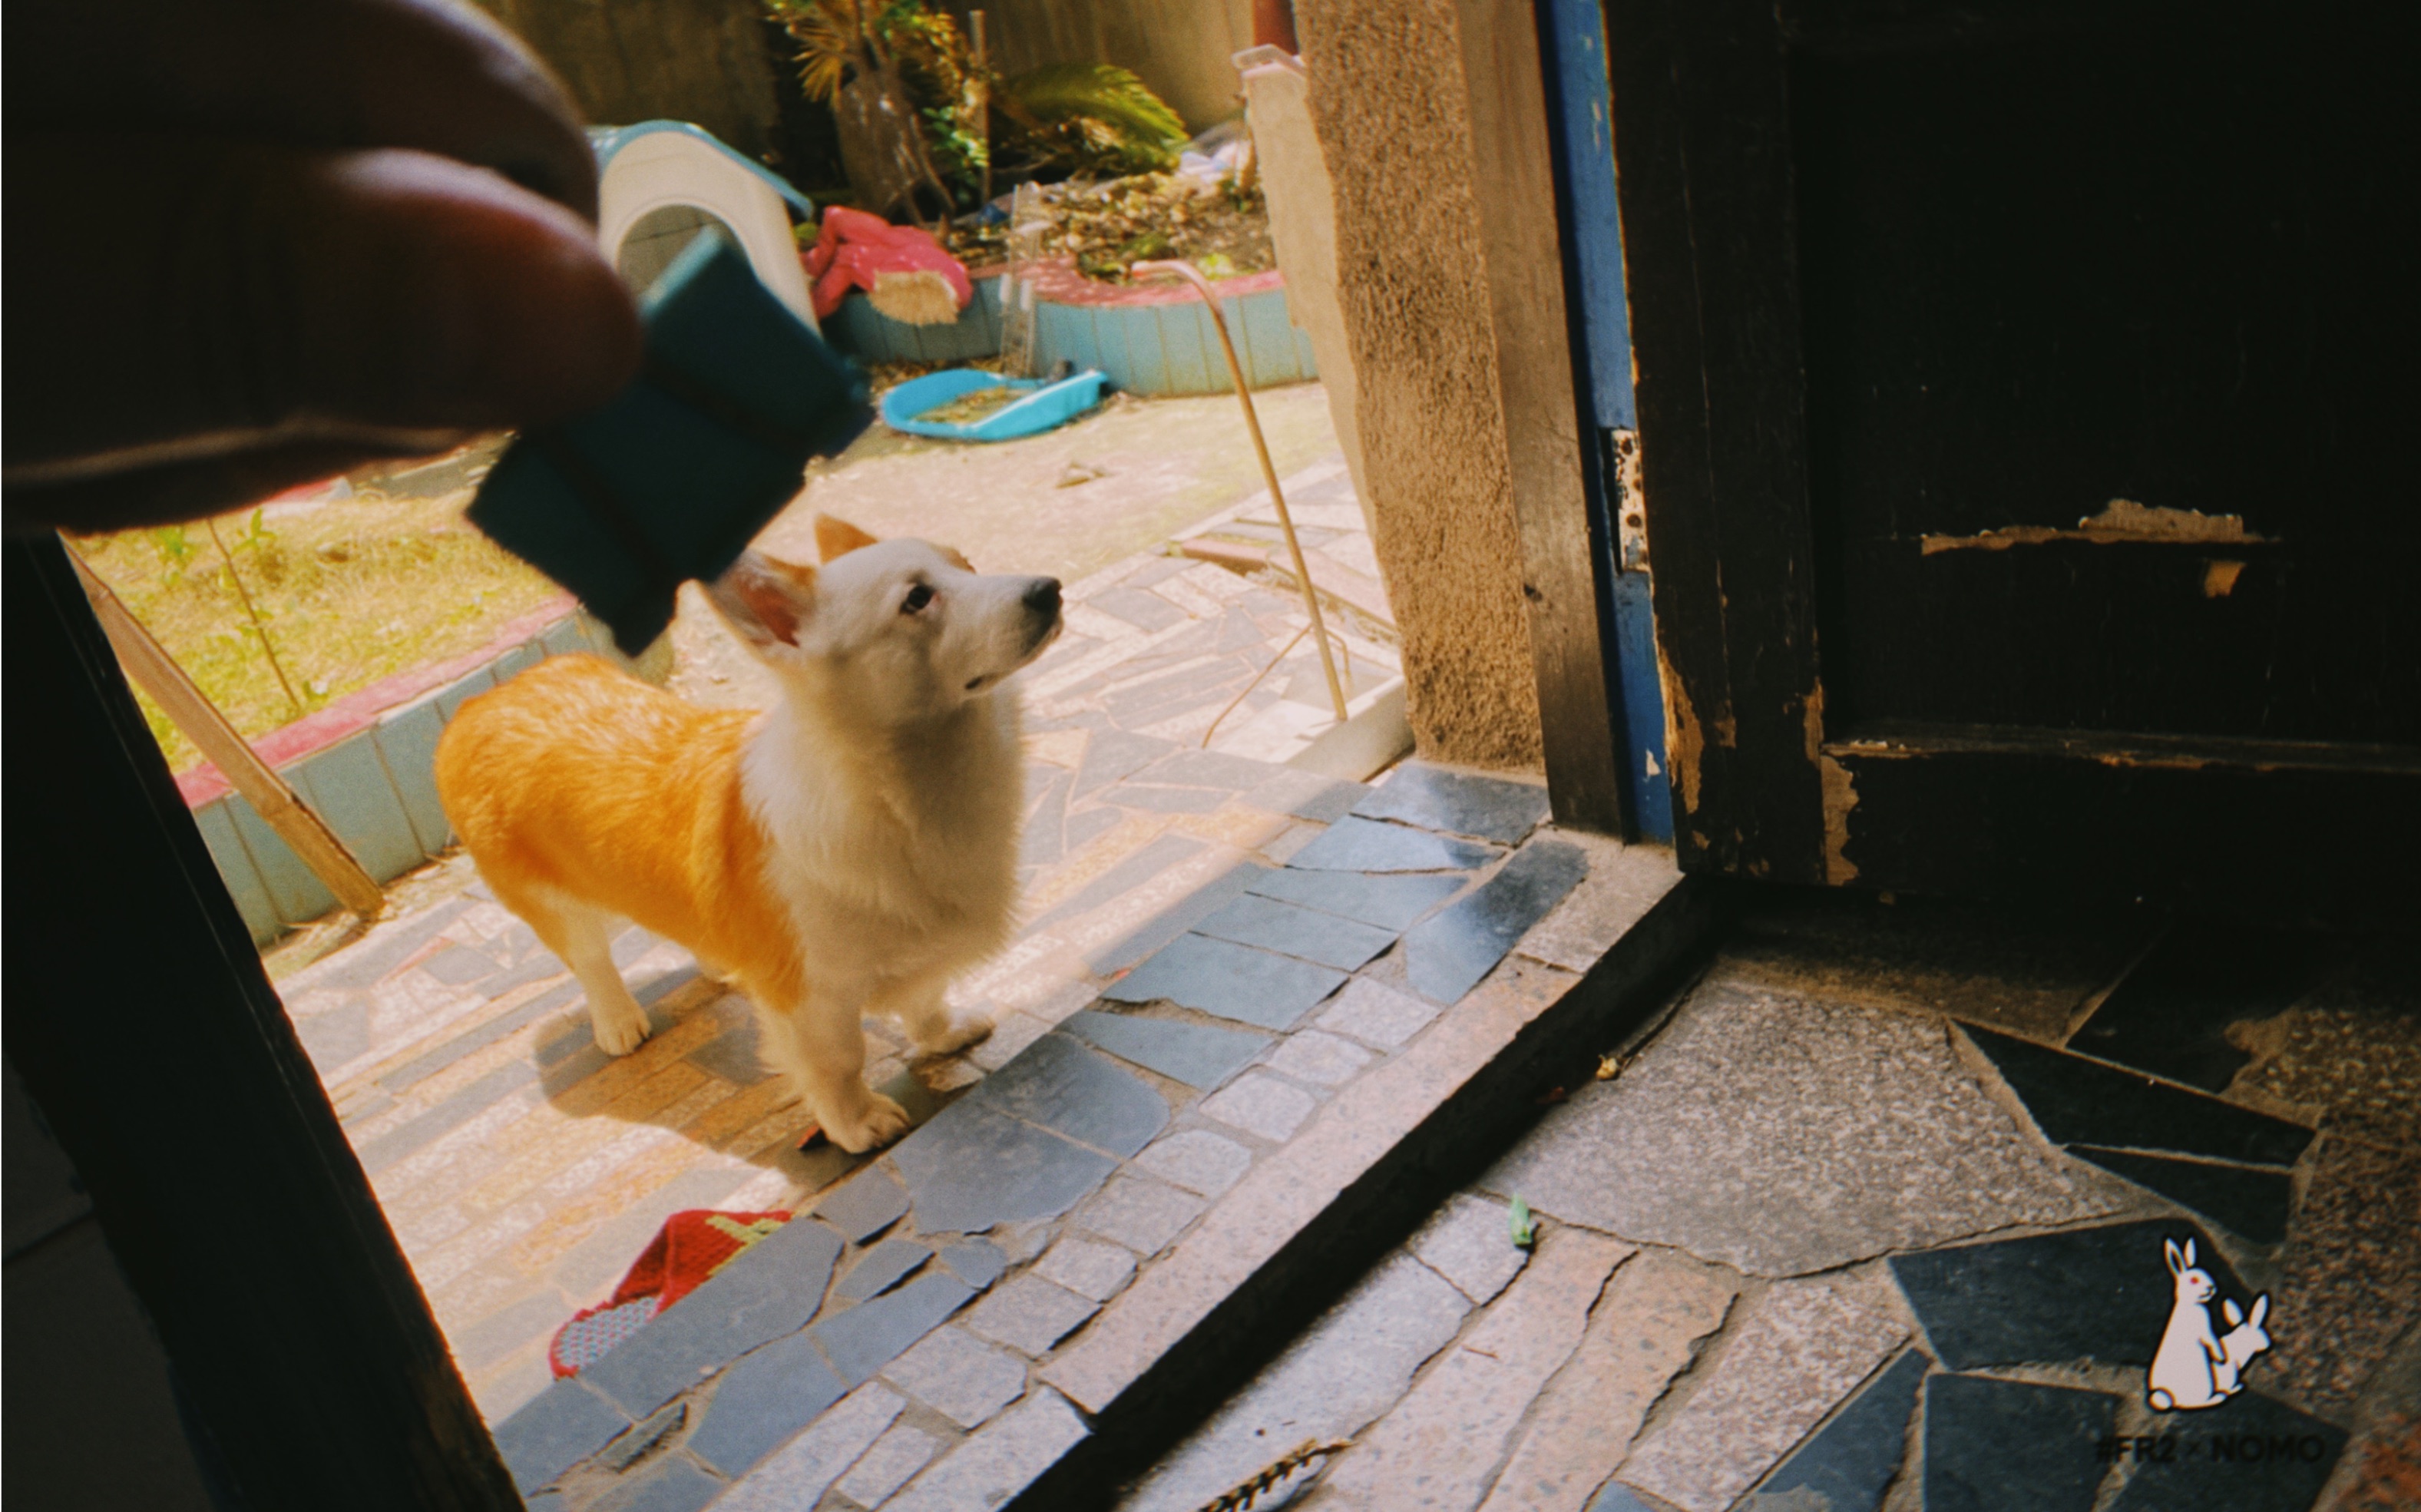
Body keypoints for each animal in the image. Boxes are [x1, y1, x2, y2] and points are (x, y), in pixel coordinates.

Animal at [442, 513, 1060, 1153]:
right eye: (916, 599)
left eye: (966, 564)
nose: (1050, 590)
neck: (897, 789)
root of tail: (484, 700)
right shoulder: (812, 999)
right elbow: (839, 1063)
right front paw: (858, 1124)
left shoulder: (918, 950)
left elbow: (925, 999)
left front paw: (945, 1033)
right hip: (557, 905)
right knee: (590, 959)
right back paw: (617, 1019)